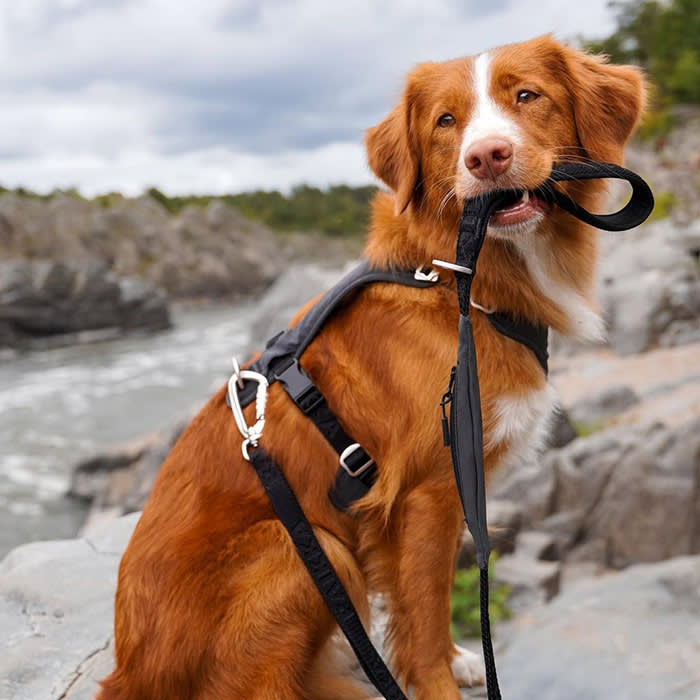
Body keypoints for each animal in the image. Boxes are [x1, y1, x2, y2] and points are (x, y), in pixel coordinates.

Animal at [97, 37, 644, 700]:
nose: (487, 157)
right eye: (445, 121)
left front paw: (459, 658)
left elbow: (424, 607)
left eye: (526, 95)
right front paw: (440, 682)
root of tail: (128, 673)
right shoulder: (428, 493)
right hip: (304, 550)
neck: (457, 283)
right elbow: (424, 613)